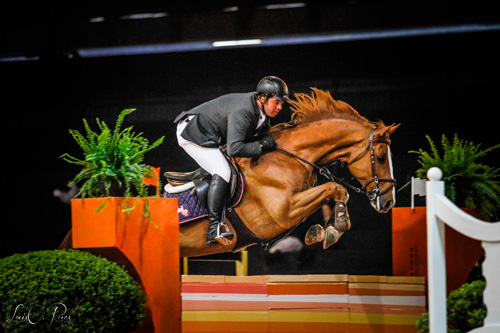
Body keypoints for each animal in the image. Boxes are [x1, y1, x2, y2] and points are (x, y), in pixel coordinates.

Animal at [179, 88, 398, 256]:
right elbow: (335, 188)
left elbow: (334, 192)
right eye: (380, 157)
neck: (290, 157)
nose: (389, 202)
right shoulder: (285, 211)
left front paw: (326, 230)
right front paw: (337, 226)